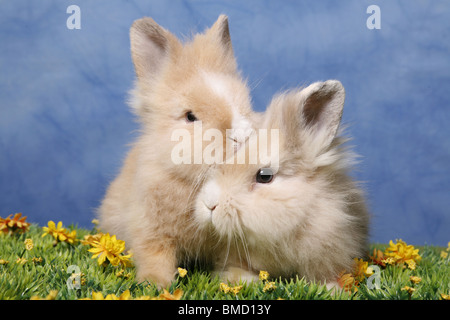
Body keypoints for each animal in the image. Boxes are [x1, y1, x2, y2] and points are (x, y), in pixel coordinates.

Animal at [97, 15, 256, 288]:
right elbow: (154, 254)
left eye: (245, 105)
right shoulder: (149, 228)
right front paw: (155, 283)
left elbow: (236, 260)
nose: (241, 137)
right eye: (190, 116)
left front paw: (242, 280)